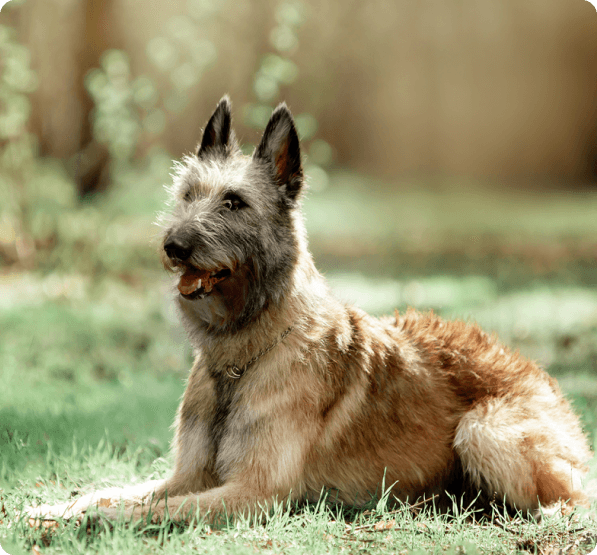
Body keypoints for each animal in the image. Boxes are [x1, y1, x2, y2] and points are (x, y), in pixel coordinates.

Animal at [24, 95, 592, 524]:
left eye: (234, 202)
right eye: (187, 195)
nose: (173, 246)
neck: (242, 355)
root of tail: (537, 372)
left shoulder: (254, 493)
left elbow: (149, 511)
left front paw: (94, 523)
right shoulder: (186, 476)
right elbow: (113, 490)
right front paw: (56, 509)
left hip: (482, 432)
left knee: (572, 499)